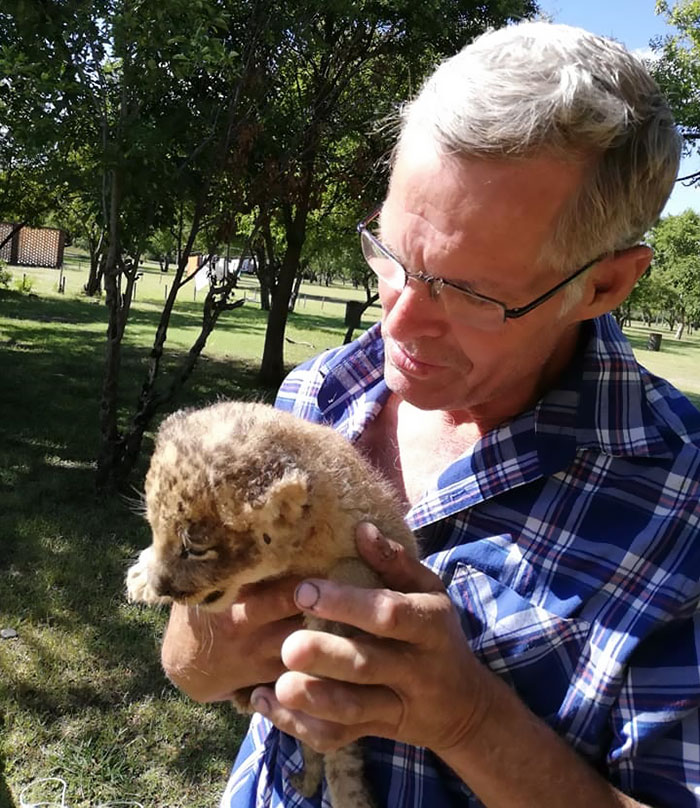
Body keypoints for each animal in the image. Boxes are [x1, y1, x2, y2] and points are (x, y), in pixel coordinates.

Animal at [126, 400, 417, 808]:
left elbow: (346, 578)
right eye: (153, 527)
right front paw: (139, 577)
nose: (161, 587)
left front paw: (318, 630)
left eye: (196, 549)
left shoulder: (375, 549)